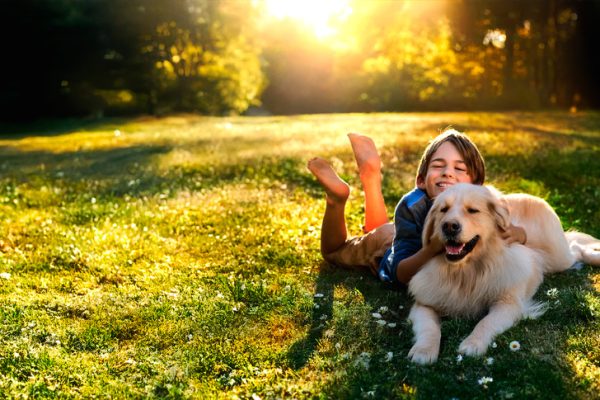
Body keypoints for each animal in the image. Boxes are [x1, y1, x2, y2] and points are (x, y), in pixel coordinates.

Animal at [406, 183, 596, 364]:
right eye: (443, 209)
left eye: (472, 210)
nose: (449, 226)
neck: (466, 271)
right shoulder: (424, 304)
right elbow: (429, 328)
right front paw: (424, 350)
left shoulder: (508, 304)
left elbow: (485, 322)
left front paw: (473, 343)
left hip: (558, 258)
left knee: (576, 248)